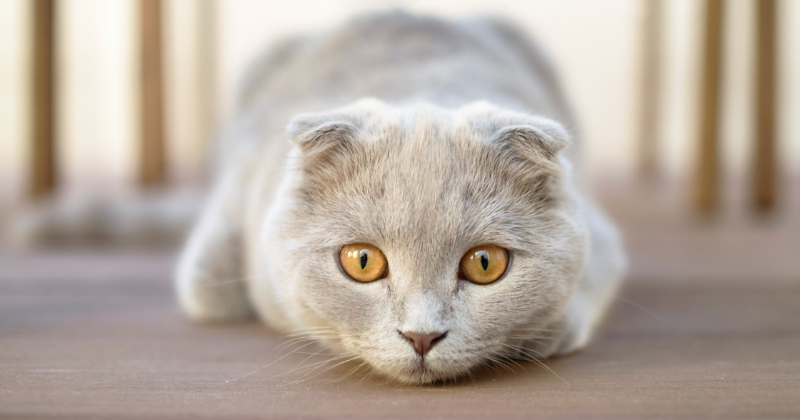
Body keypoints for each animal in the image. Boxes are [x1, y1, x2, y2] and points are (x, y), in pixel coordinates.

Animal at [178, 10, 628, 384]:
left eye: (485, 263)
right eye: (361, 261)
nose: (422, 336)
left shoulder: (600, 234)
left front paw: (545, 333)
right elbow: (209, 291)